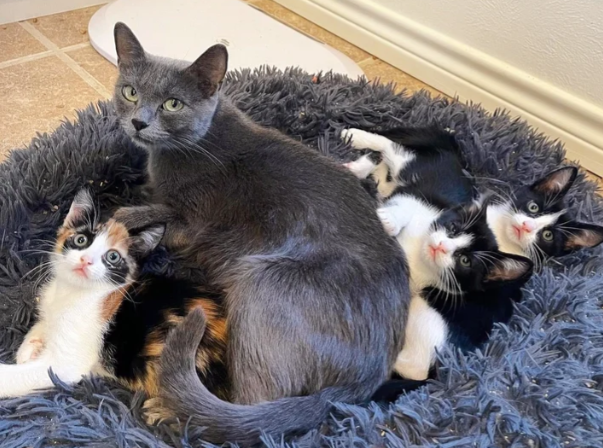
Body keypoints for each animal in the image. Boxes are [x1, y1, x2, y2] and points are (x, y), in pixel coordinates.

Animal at [111, 21, 408, 444]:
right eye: (130, 92)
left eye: (172, 104)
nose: (138, 121)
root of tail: (361, 384)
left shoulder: (193, 223)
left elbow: (140, 214)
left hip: (261, 277)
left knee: (253, 407)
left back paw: (173, 414)